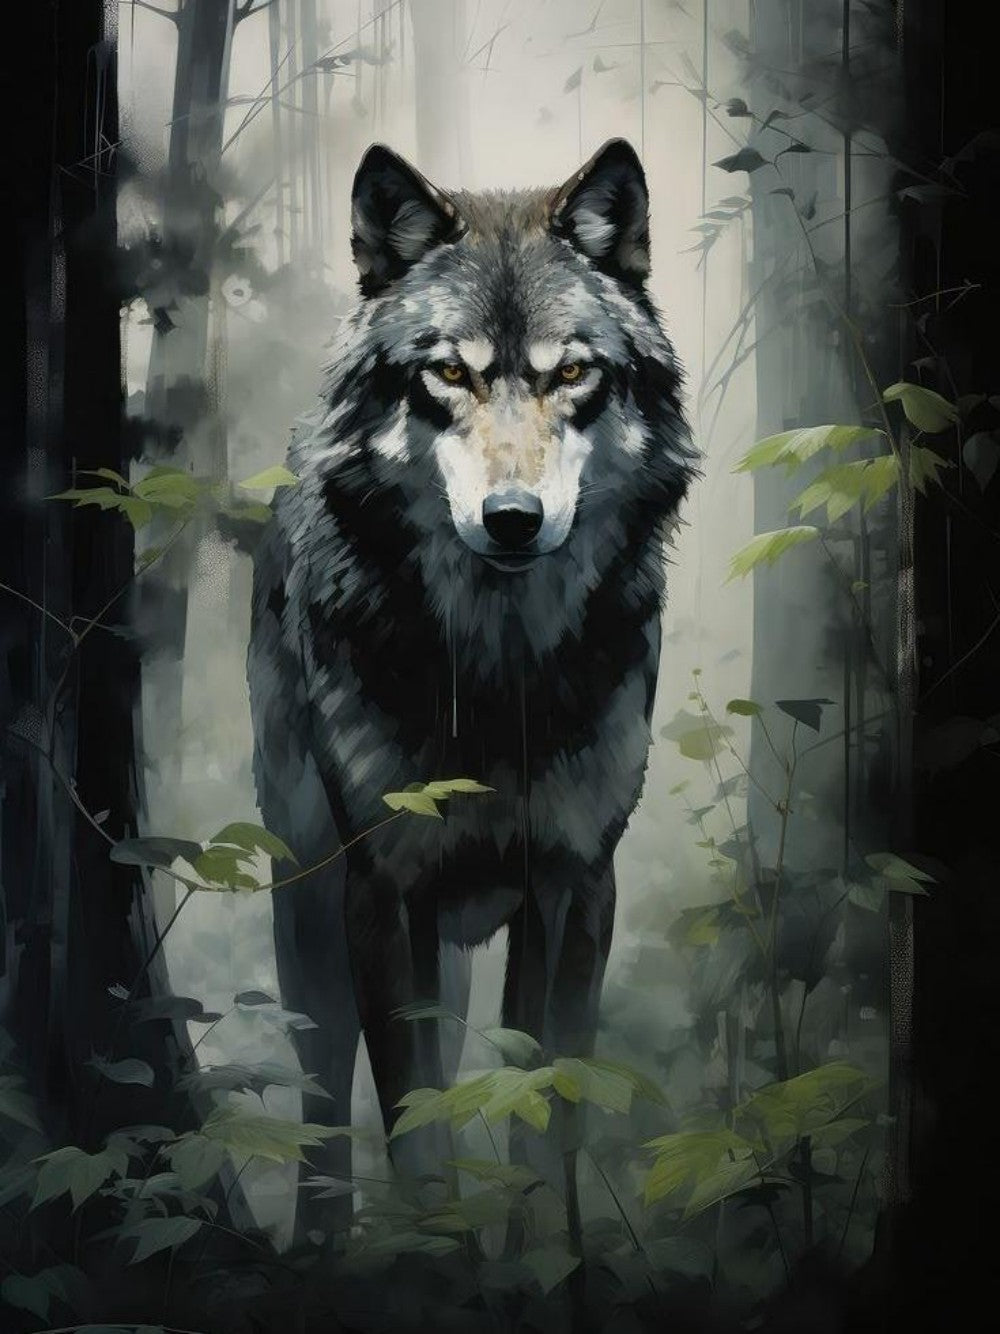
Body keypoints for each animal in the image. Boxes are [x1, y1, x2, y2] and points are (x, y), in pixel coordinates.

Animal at [248, 138, 696, 1224]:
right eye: (448, 371)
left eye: (571, 372)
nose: (512, 518)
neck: (500, 679)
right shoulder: (381, 889)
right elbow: (414, 1126)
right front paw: (437, 1246)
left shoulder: (575, 883)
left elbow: (548, 1100)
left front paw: (548, 1253)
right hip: (306, 902)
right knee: (322, 1088)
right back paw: (319, 1236)